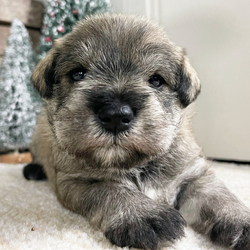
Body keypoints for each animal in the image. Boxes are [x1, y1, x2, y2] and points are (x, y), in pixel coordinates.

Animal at [23, 13, 250, 250]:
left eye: (156, 80)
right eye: (78, 74)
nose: (115, 116)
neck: (136, 163)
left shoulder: (193, 174)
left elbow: (217, 194)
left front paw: (238, 217)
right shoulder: (78, 181)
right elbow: (112, 190)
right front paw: (142, 214)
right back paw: (33, 170)